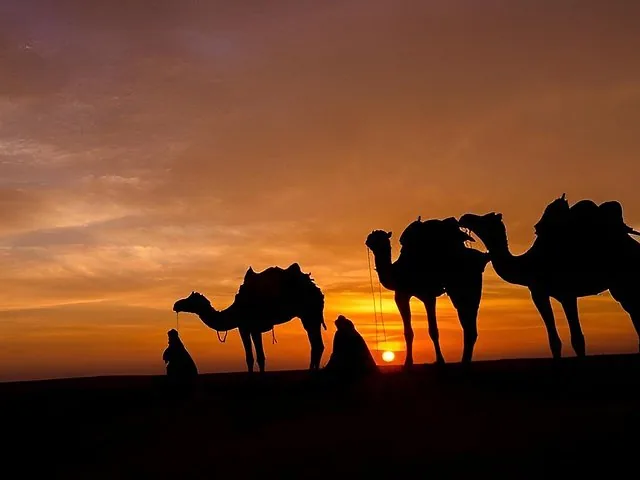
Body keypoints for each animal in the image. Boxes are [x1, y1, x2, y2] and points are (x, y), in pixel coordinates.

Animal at [172, 263, 326, 373]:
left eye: (190, 299)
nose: (176, 305)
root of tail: (316, 289)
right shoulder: (245, 328)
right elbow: (250, 358)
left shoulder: (252, 327)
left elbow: (259, 357)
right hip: (310, 315)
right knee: (316, 344)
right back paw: (312, 371)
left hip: (310, 313)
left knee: (316, 344)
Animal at [365, 217, 490, 367]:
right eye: (372, 238)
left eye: (382, 239)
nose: (368, 241)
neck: (399, 272)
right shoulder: (401, 295)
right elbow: (408, 332)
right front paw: (408, 362)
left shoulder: (428, 295)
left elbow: (433, 330)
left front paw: (440, 360)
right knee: (468, 320)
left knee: (469, 318)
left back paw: (465, 360)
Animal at [459, 195, 640, 358]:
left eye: (486, 218)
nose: (465, 217)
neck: (530, 263)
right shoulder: (539, 294)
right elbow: (554, 342)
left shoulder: (567, 294)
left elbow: (577, 340)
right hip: (619, 287)